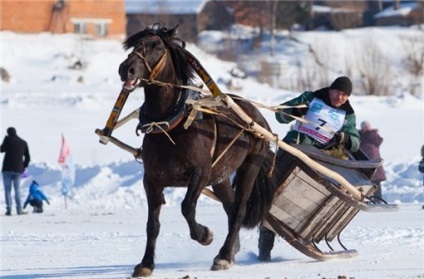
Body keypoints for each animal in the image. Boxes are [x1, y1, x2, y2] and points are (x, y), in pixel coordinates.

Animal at [117, 24, 274, 278]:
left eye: (156, 46)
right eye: (134, 46)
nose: (126, 69)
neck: (170, 125)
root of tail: (256, 115)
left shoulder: (200, 173)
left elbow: (187, 207)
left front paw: (204, 235)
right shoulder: (151, 179)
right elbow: (153, 225)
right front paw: (146, 264)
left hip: (250, 165)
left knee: (239, 211)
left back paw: (223, 257)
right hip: (221, 177)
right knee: (230, 209)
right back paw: (231, 251)